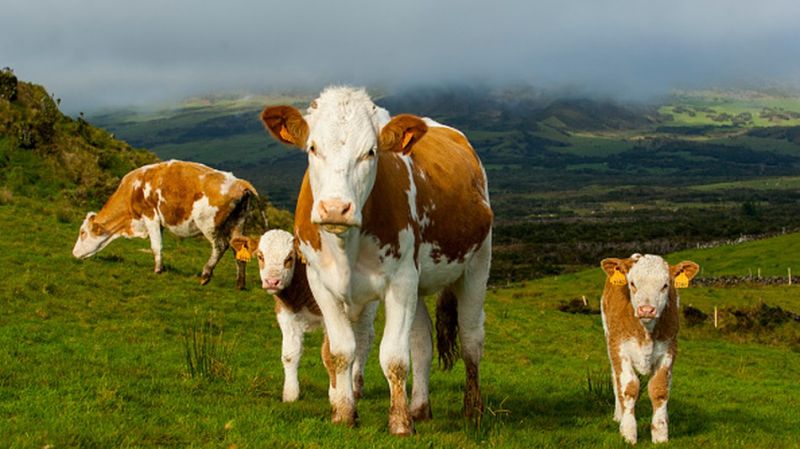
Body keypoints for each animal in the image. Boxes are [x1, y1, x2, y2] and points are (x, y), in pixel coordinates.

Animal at [72, 160, 266, 289]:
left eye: (82, 233)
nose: (74, 253)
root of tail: (240, 183)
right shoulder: (159, 222)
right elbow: (159, 244)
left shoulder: (150, 215)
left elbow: (155, 245)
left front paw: (158, 269)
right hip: (238, 223)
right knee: (238, 249)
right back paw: (240, 284)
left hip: (208, 224)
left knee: (220, 246)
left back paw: (205, 275)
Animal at [260, 86, 493, 435]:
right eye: (313, 147)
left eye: (370, 152)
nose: (335, 208)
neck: (346, 246)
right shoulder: (320, 283)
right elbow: (341, 352)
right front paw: (344, 414)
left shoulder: (401, 281)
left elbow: (394, 357)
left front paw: (399, 423)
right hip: (420, 284)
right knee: (422, 341)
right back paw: (420, 408)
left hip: (477, 265)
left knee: (470, 339)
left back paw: (473, 410)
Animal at [600, 254, 699, 444]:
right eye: (632, 283)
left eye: (665, 285)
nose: (646, 309)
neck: (646, 331)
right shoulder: (619, 349)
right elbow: (628, 388)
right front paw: (628, 432)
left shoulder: (669, 350)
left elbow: (660, 389)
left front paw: (660, 434)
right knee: (615, 379)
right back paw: (618, 415)